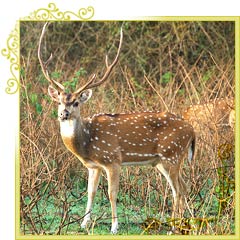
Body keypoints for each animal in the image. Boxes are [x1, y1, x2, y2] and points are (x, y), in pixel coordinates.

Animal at [37, 23, 195, 234]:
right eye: (59, 101)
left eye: (76, 102)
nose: (63, 113)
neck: (87, 143)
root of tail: (192, 130)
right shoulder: (93, 166)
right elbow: (91, 192)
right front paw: (83, 223)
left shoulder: (113, 159)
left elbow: (112, 193)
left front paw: (114, 226)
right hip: (163, 161)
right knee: (184, 188)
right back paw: (184, 225)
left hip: (172, 154)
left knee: (177, 190)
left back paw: (172, 228)